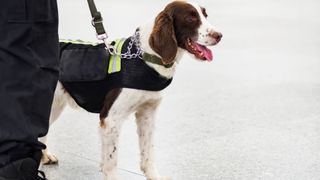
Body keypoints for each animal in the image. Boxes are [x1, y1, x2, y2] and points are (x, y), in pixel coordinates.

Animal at [41, 1, 221, 180]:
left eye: (205, 15)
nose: (219, 35)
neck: (144, 58)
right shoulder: (111, 119)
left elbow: (148, 152)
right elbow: (111, 161)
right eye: (190, 18)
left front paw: (153, 175)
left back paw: (45, 156)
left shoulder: (147, 113)